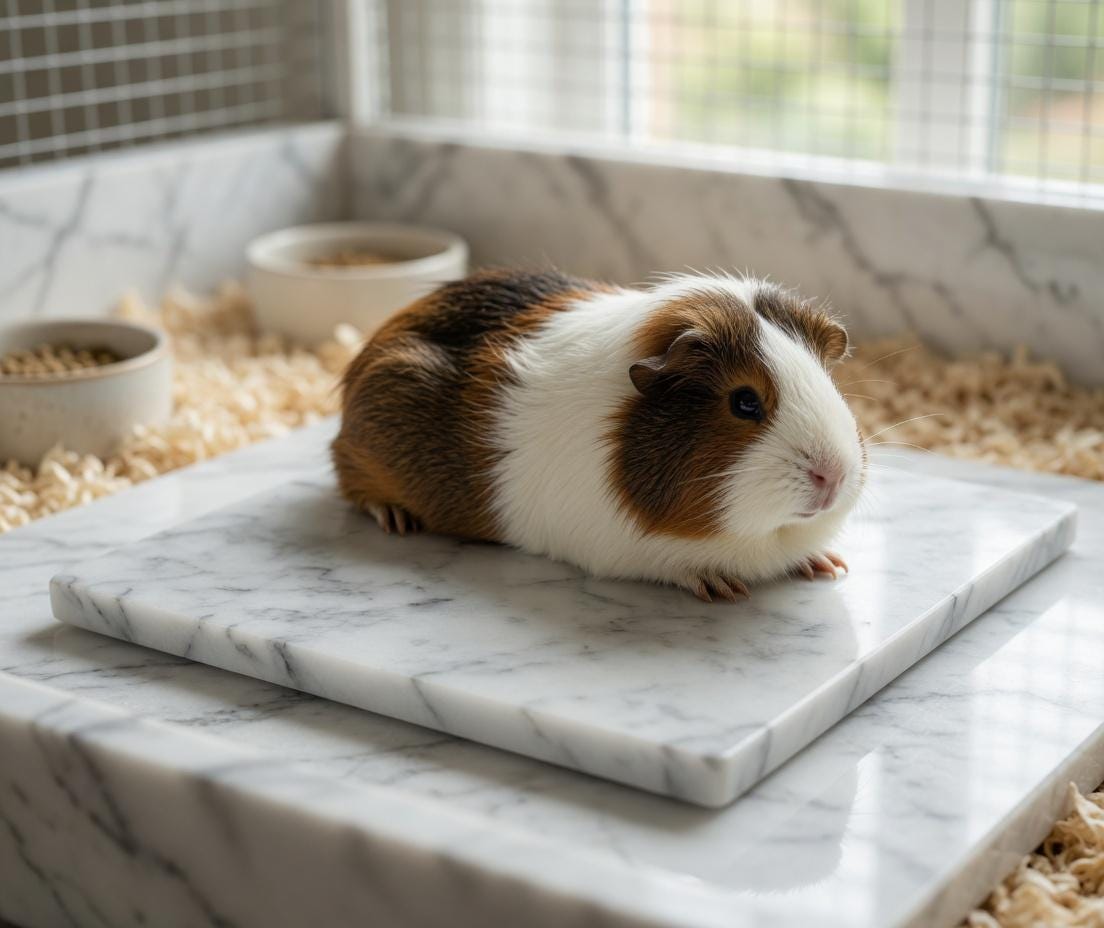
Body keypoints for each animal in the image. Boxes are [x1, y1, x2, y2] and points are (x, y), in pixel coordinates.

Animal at [332, 269, 865, 601]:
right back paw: (396, 519)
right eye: (744, 402)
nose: (834, 475)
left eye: (826, 378)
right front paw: (720, 587)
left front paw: (827, 564)